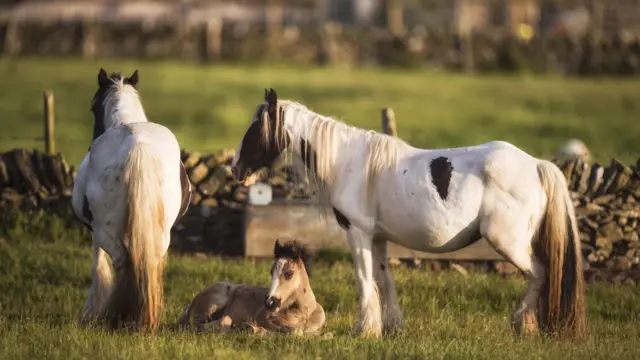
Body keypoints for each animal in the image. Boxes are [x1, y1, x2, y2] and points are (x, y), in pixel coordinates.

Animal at [72, 69, 191, 334]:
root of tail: (137, 145)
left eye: (93, 108)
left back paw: (118, 317)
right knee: (149, 263)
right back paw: (143, 317)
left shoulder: (94, 233)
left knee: (121, 262)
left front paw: (91, 312)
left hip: (105, 231)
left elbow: (98, 266)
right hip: (160, 233)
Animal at [178, 240, 324, 336]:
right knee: (193, 325)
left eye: (289, 273)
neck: (305, 312)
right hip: (214, 303)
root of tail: (191, 303)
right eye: (271, 272)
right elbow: (295, 331)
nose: (270, 302)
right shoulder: (262, 317)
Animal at [230, 88, 584, 340]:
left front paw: (365, 331)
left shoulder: (358, 233)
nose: (236, 169)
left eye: (255, 130)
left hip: (508, 243)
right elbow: (383, 280)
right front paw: (390, 328)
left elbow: (364, 280)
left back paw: (521, 323)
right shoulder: (378, 238)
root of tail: (537, 165)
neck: (348, 162)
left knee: (539, 274)